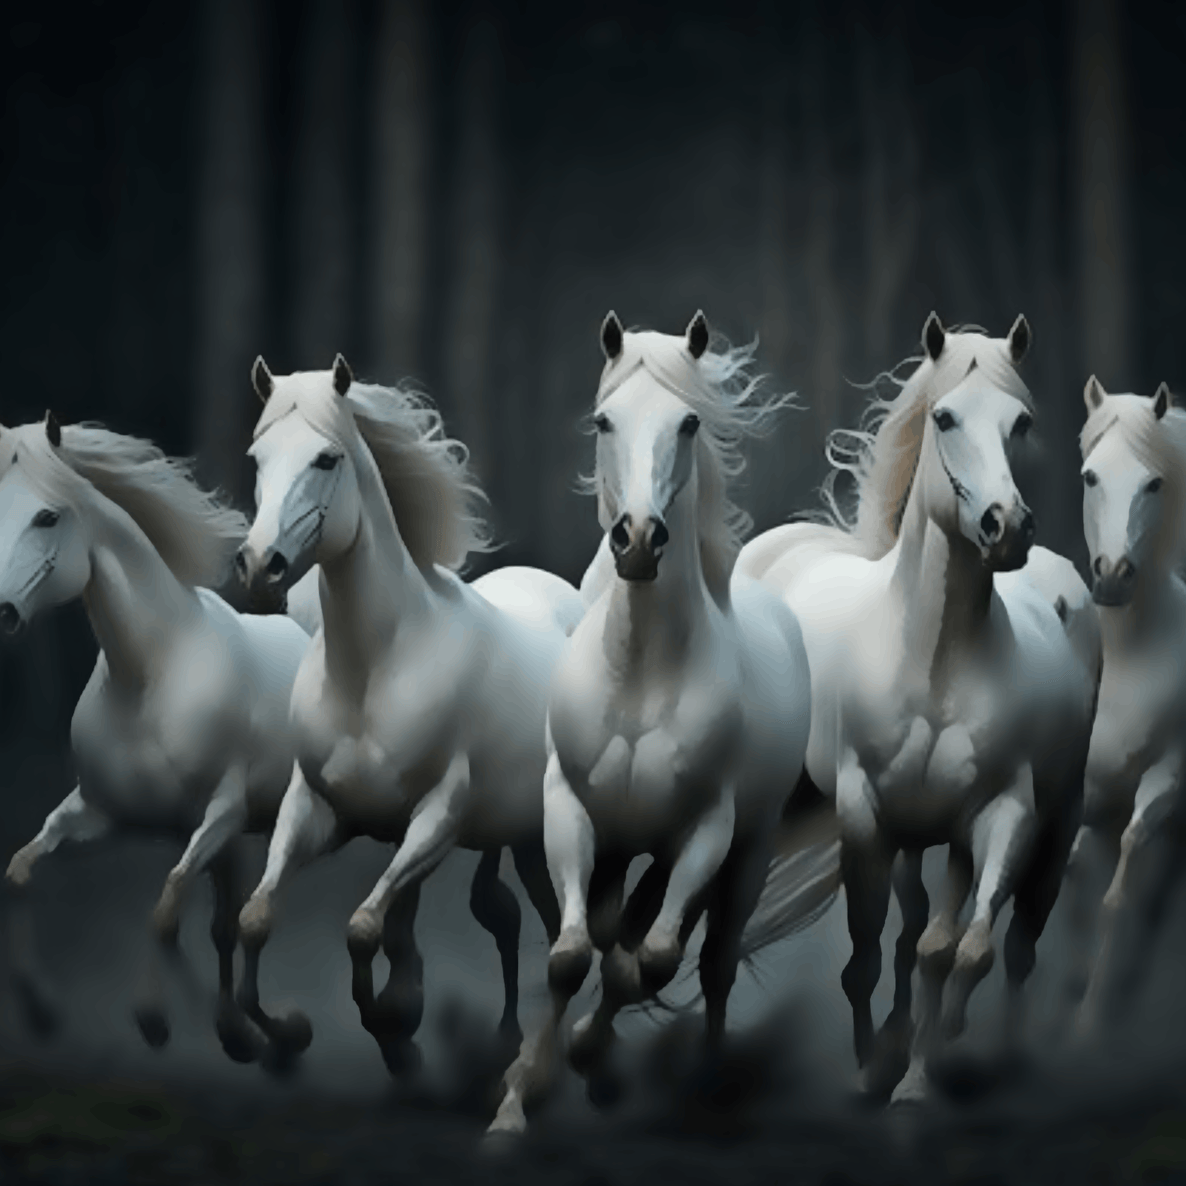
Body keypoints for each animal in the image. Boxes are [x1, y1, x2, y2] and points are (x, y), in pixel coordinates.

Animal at [0, 413, 311, 1063]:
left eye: (47, 517)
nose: (2, 612)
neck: (150, 677)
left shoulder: (220, 814)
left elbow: (165, 912)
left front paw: (154, 1018)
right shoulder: (103, 815)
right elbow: (19, 870)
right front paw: (39, 1008)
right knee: (227, 923)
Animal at [232, 354, 584, 1074]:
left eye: (327, 458)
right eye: (257, 458)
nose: (258, 566)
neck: (375, 668)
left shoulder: (438, 819)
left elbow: (364, 929)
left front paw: (399, 1040)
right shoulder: (318, 808)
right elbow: (256, 919)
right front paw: (283, 1032)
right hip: (521, 837)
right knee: (511, 914)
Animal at [485, 311, 839, 1141]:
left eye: (689, 421)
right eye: (603, 419)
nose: (639, 540)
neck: (642, 672)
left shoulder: (706, 830)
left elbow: (649, 960)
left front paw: (588, 1059)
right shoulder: (572, 810)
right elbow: (572, 954)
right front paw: (518, 1099)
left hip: (746, 851)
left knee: (709, 960)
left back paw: (701, 1083)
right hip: (623, 846)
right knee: (614, 931)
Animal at [736, 313, 1101, 1104]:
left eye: (1021, 420)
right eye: (945, 417)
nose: (1006, 526)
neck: (932, 660)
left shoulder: (1002, 814)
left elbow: (964, 950)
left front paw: (921, 1076)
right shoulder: (866, 816)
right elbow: (869, 955)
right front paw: (871, 1069)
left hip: (1045, 823)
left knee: (1013, 941)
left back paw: (993, 1049)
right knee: (906, 935)